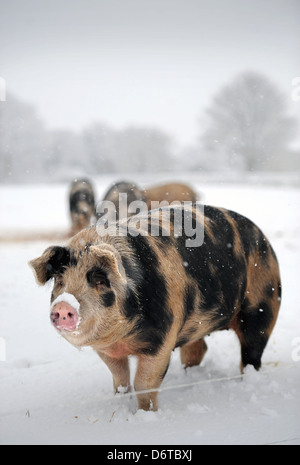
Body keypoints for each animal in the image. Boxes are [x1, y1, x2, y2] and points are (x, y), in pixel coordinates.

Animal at [29, 203, 280, 410]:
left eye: (100, 281)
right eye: (60, 281)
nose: (63, 305)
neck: (123, 338)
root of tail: (264, 239)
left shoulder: (162, 338)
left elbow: (144, 384)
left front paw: (145, 414)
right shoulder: (106, 350)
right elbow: (120, 379)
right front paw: (120, 404)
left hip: (263, 304)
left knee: (251, 354)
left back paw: (246, 381)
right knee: (198, 350)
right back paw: (189, 376)